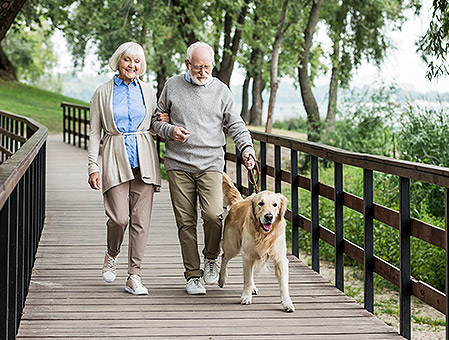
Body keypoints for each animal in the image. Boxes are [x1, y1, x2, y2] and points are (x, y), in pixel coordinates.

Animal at [218, 174, 294, 312]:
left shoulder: (280, 259)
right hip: (233, 246)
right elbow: (247, 280)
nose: (269, 216)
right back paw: (222, 279)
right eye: (260, 203)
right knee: (224, 257)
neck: (264, 235)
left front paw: (287, 303)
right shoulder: (248, 256)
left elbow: (283, 285)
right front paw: (246, 297)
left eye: (275, 204)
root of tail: (238, 203)